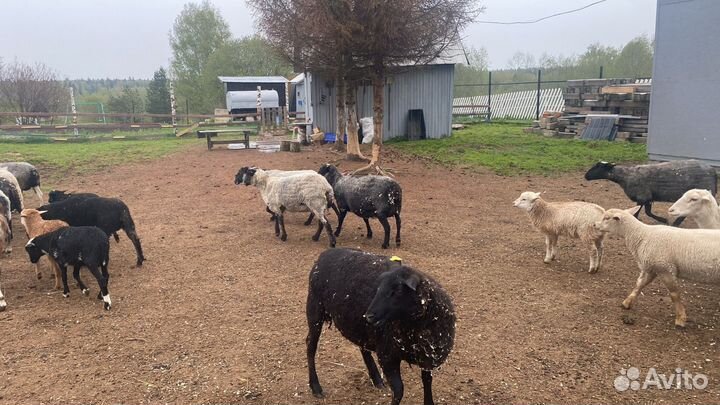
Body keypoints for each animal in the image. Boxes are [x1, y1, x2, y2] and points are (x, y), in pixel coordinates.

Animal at [306, 248, 455, 405]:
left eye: (398, 291)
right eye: (378, 289)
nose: (369, 316)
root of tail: (325, 253)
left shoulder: (427, 358)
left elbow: (427, 383)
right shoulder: (387, 356)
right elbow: (399, 390)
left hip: (360, 326)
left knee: (363, 348)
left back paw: (376, 378)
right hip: (315, 310)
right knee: (310, 346)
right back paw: (315, 387)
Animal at [584, 160, 717, 225]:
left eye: (598, 167)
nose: (586, 176)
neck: (625, 176)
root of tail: (713, 171)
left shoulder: (642, 196)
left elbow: (641, 213)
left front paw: (663, 220)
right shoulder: (647, 198)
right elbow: (647, 212)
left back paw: (675, 224)